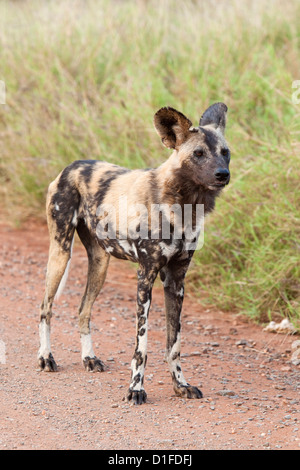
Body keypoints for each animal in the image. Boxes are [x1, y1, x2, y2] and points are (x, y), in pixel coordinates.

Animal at [37, 102, 230, 404]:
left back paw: (89, 358)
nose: (223, 174)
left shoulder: (176, 281)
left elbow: (173, 344)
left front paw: (180, 385)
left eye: (226, 153)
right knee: (46, 308)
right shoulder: (145, 276)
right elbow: (142, 347)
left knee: (83, 310)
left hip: (100, 264)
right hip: (60, 252)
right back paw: (46, 357)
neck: (184, 205)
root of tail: (71, 165)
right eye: (198, 154)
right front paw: (136, 389)